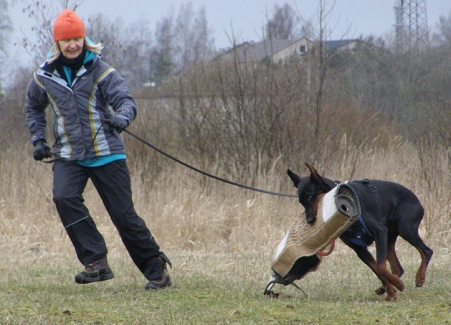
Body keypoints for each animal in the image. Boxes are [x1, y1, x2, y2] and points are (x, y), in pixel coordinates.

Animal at [290, 163, 434, 300]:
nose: (309, 220)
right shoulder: (359, 249)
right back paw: (386, 286)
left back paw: (419, 277)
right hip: (389, 236)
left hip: (405, 229)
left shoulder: (380, 231)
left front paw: (397, 285)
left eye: (309, 196)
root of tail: (418, 201)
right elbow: (377, 269)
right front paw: (391, 293)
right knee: (398, 267)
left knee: (427, 251)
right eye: (300, 201)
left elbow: (380, 267)